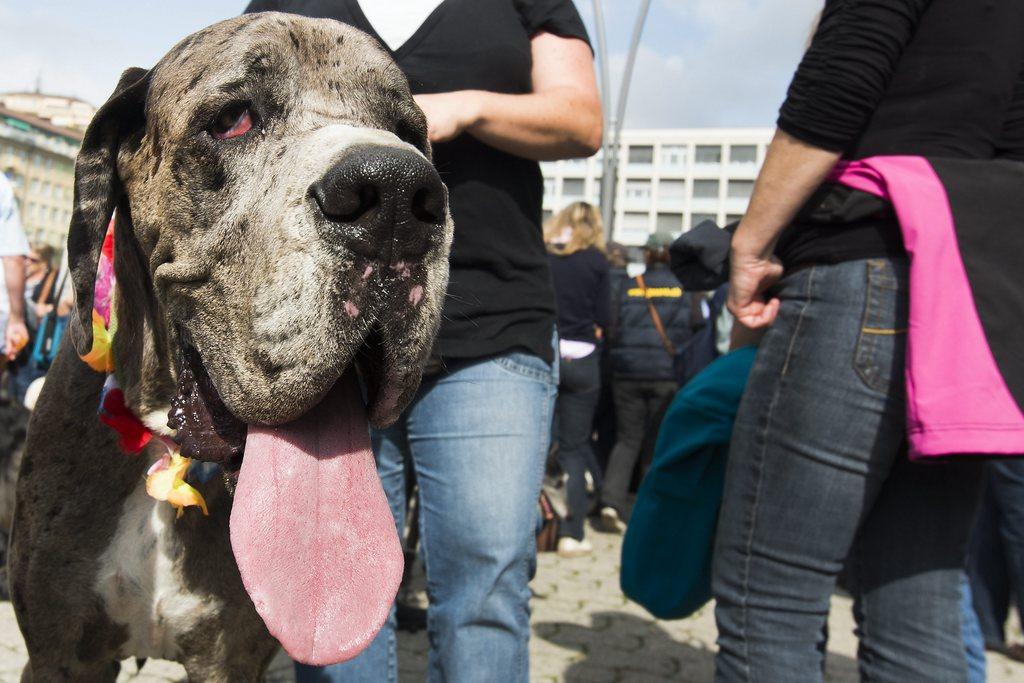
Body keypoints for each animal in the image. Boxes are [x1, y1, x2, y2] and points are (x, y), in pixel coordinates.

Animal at [11, 13, 452, 679]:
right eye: (232, 120)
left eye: (409, 134)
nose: (400, 195)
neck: (164, 450)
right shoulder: (61, 655)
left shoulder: (232, 658)